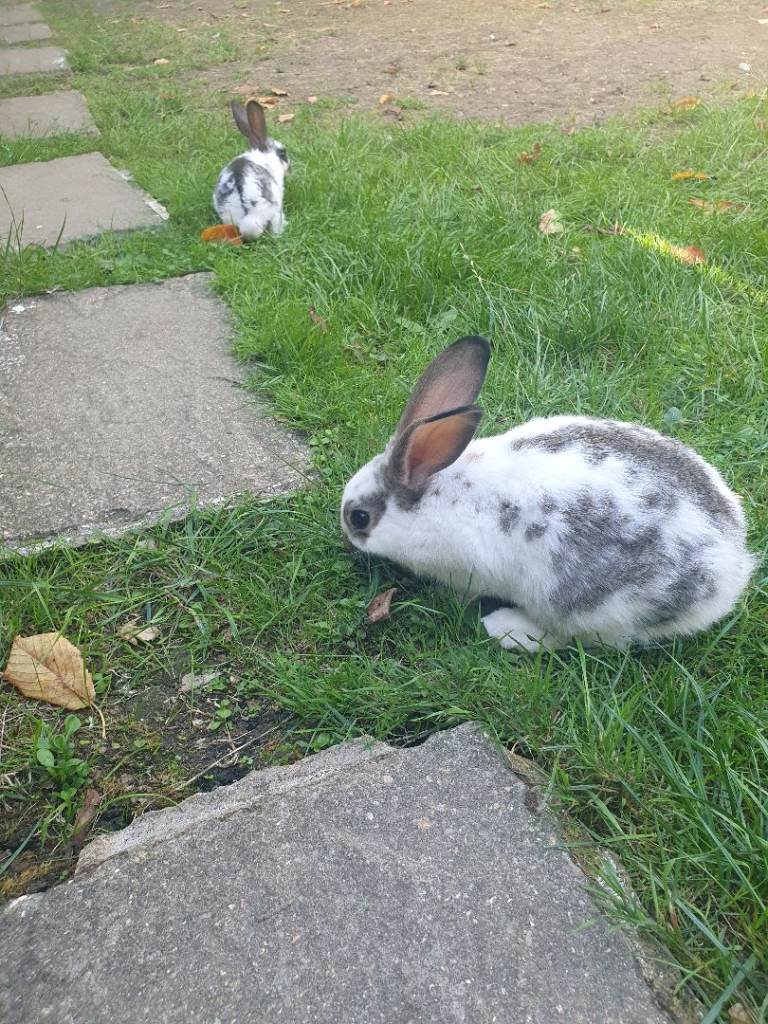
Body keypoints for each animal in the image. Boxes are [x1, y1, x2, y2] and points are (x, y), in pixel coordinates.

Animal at [340, 336, 754, 652]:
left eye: (359, 517)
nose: (346, 535)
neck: (432, 494)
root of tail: (732, 570)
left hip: (580, 605)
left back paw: (506, 629)